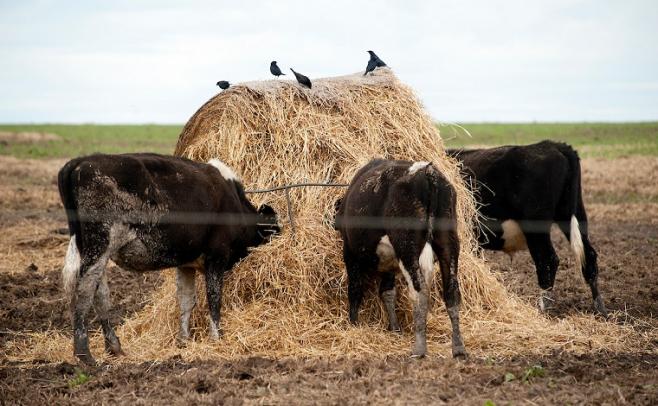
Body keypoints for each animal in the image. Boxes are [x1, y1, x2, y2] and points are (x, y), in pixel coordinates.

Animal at [57, 153, 280, 364]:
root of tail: (81, 161)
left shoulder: (186, 264)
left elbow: (186, 300)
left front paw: (183, 340)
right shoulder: (217, 256)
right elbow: (214, 298)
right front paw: (217, 338)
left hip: (94, 249)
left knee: (100, 293)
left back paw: (113, 347)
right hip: (99, 244)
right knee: (85, 289)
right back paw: (84, 354)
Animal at [334, 159, 466, 358]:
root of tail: (427, 172)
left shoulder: (350, 253)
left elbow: (355, 290)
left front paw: (353, 324)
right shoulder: (388, 265)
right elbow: (387, 292)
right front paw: (394, 328)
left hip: (407, 247)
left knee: (419, 291)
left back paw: (419, 349)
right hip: (448, 244)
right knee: (452, 291)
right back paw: (458, 348)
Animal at [446, 142, 604, 318]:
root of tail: (551, 144)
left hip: (536, 226)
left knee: (547, 260)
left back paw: (542, 309)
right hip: (574, 213)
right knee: (589, 256)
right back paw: (600, 309)